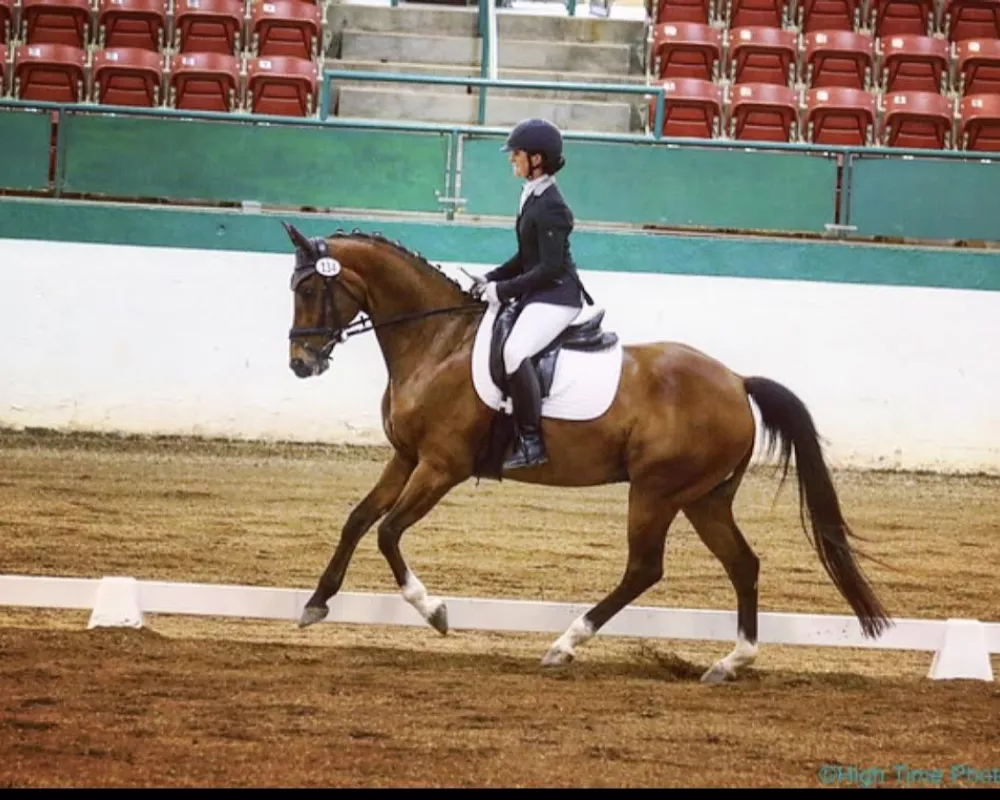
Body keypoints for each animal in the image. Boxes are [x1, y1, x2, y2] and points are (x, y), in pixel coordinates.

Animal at [286, 223, 896, 680]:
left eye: (311, 291)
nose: (301, 364)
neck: (439, 343)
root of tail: (737, 381)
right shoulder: (407, 457)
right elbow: (358, 519)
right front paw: (316, 603)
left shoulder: (441, 466)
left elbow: (388, 531)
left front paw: (433, 611)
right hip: (704, 498)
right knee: (742, 563)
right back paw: (730, 662)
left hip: (656, 492)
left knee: (644, 568)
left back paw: (565, 645)